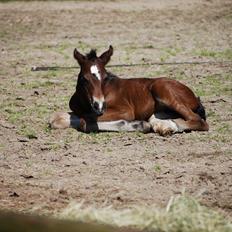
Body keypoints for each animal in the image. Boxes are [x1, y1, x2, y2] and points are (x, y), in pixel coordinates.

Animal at [49, 45, 209, 136]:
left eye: (105, 77)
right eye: (84, 78)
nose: (99, 105)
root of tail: (194, 96)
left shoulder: (125, 111)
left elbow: (84, 122)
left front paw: (136, 125)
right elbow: (59, 118)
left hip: (162, 88)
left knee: (199, 120)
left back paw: (170, 125)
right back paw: (164, 125)